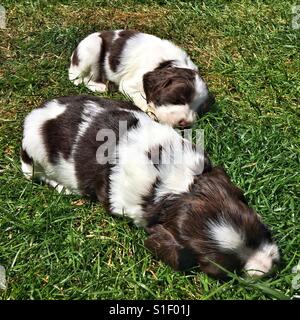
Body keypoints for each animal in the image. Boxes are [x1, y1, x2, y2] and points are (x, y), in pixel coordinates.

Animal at [20, 95, 278, 278]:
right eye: (223, 270)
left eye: (261, 230)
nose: (271, 268)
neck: (174, 188)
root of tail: (32, 117)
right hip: (37, 159)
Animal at [68, 30, 213, 127]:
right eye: (179, 98)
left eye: (200, 109)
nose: (186, 123)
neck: (165, 65)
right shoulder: (129, 84)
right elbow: (141, 99)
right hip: (92, 47)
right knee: (79, 79)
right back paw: (101, 87)